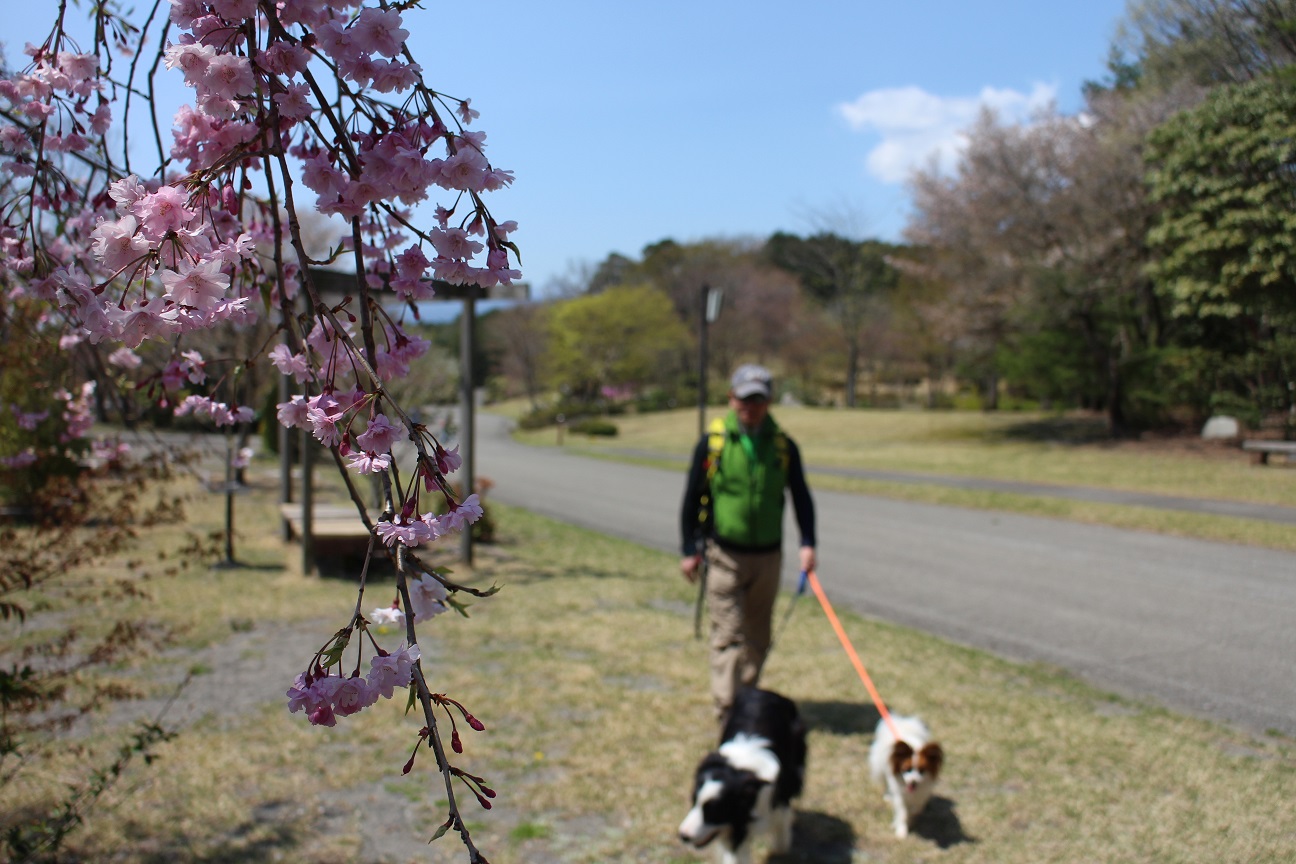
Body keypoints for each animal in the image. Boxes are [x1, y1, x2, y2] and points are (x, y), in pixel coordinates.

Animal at [684, 689, 803, 864]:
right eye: (693, 802)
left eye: (714, 810)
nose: (683, 835)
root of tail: (766, 691)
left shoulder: (779, 800)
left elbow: (781, 826)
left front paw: (782, 849)